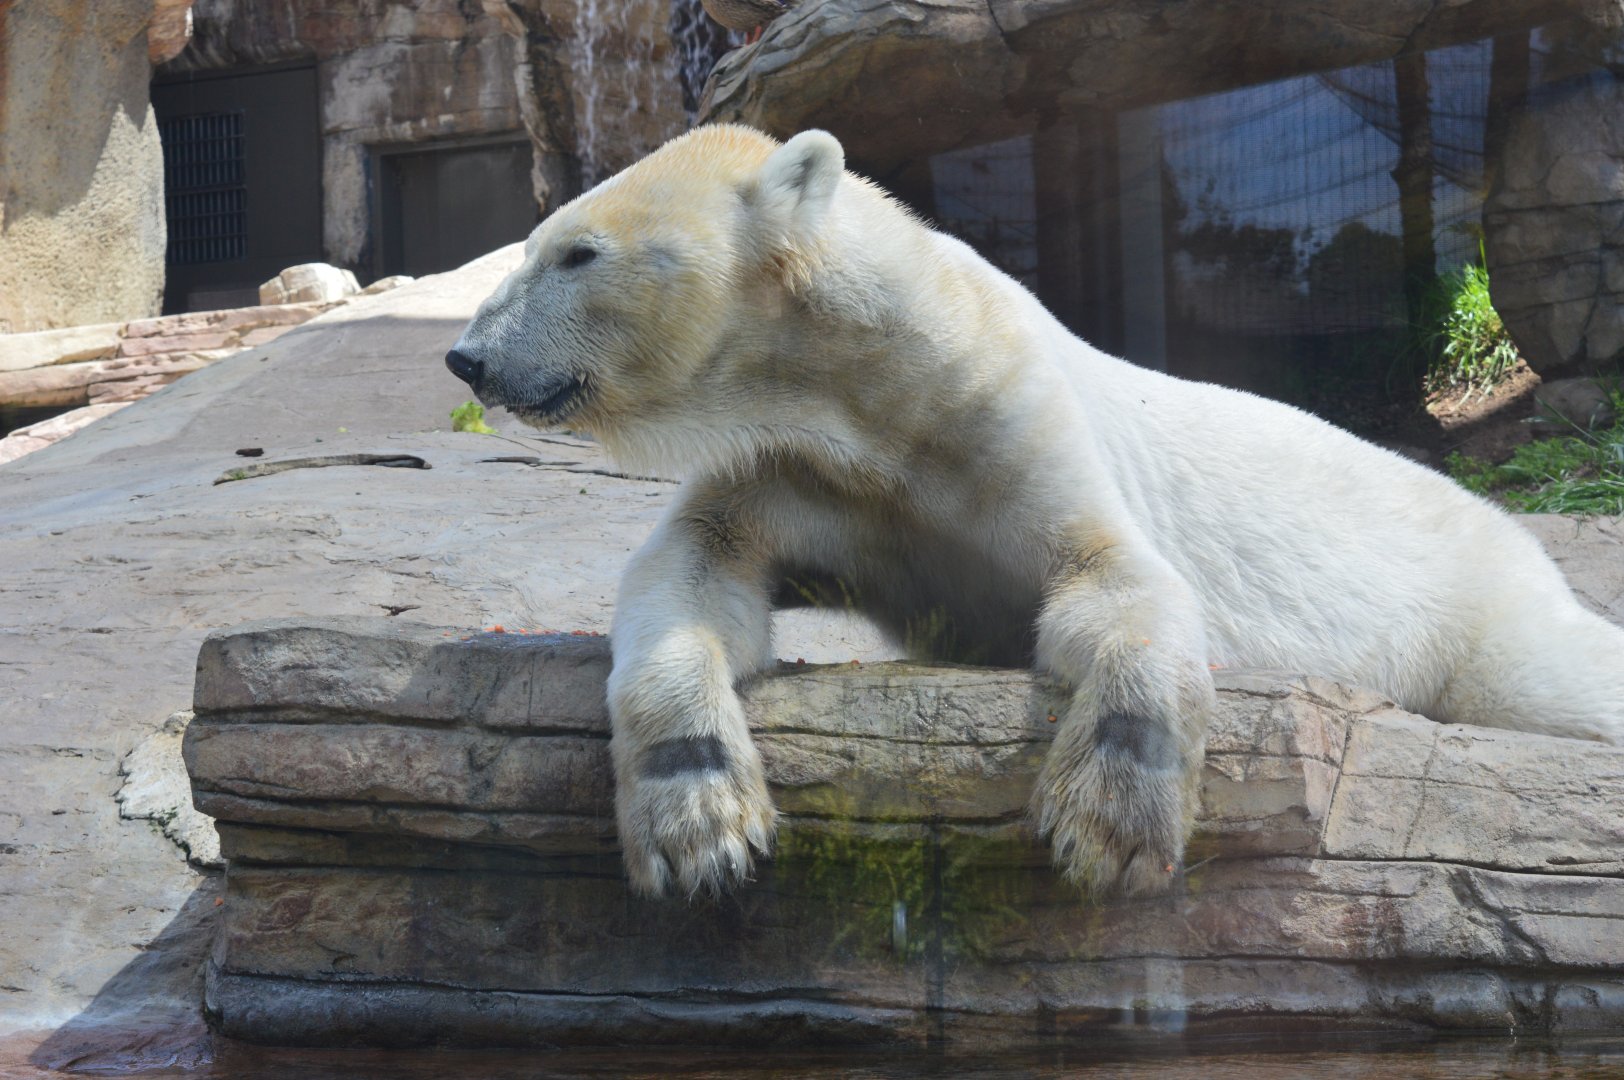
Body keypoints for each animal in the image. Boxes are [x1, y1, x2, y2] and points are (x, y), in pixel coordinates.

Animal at [447, 124, 1624, 900]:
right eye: (535, 242)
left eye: (577, 253)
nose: (466, 355)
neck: (874, 383)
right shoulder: (792, 466)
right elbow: (696, 570)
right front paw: (700, 825)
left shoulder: (1007, 413)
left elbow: (1118, 579)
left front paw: (1107, 828)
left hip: (1475, 601)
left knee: (1550, 677)